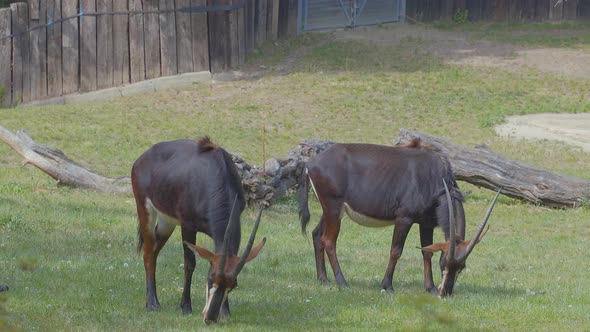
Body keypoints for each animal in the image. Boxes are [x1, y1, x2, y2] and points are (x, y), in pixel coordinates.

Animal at [133, 137, 268, 324]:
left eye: (233, 285)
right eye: (211, 278)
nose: (210, 318)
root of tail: (142, 159)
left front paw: (226, 312)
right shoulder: (187, 226)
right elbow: (190, 263)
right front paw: (186, 307)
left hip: (167, 221)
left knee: (154, 252)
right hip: (146, 210)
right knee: (147, 253)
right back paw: (152, 304)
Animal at [300, 140, 500, 296]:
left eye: (461, 267)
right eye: (443, 263)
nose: (446, 292)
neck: (435, 176)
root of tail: (311, 164)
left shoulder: (426, 223)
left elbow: (427, 252)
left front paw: (430, 288)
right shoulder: (404, 218)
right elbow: (396, 250)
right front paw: (387, 286)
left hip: (329, 211)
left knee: (317, 235)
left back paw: (323, 279)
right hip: (334, 210)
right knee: (328, 241)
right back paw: (342, 281)